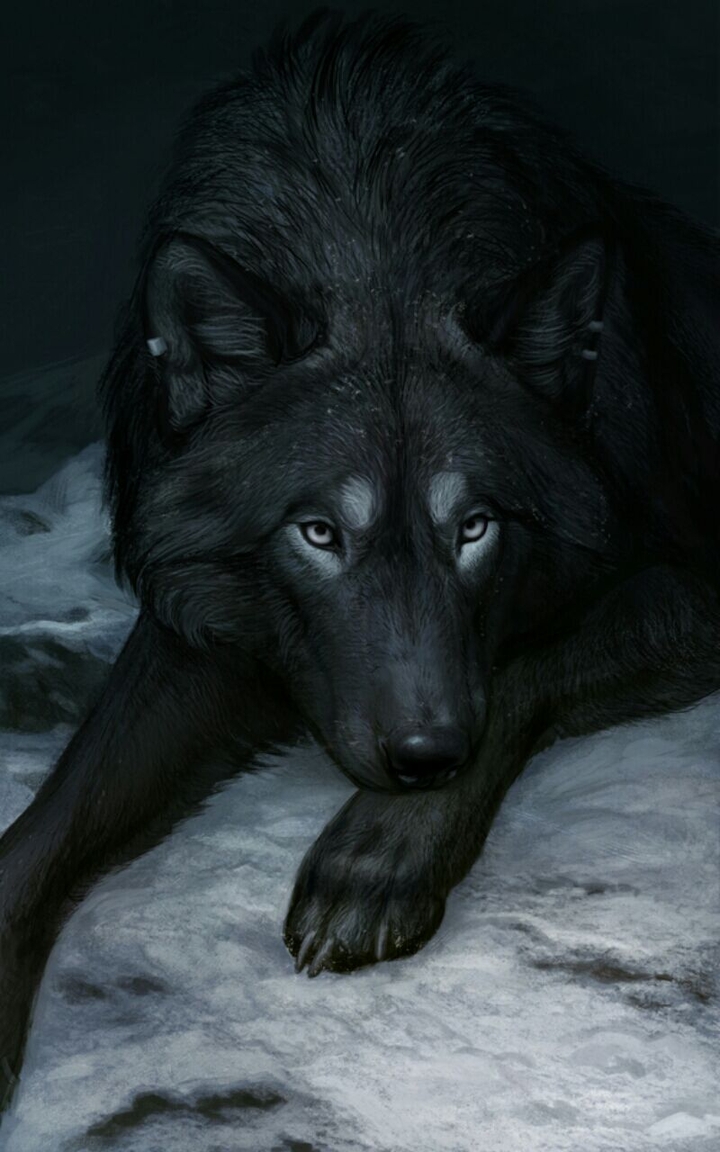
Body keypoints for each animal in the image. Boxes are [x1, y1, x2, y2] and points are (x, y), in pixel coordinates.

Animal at [1, 8, 719, 1108]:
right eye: (320, 534)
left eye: (476, 528)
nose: (426, 759)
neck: (369, 228)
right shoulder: (201, 624)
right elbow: (53, 818)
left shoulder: (694, 583)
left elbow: (520, 666)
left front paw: (377, 855)